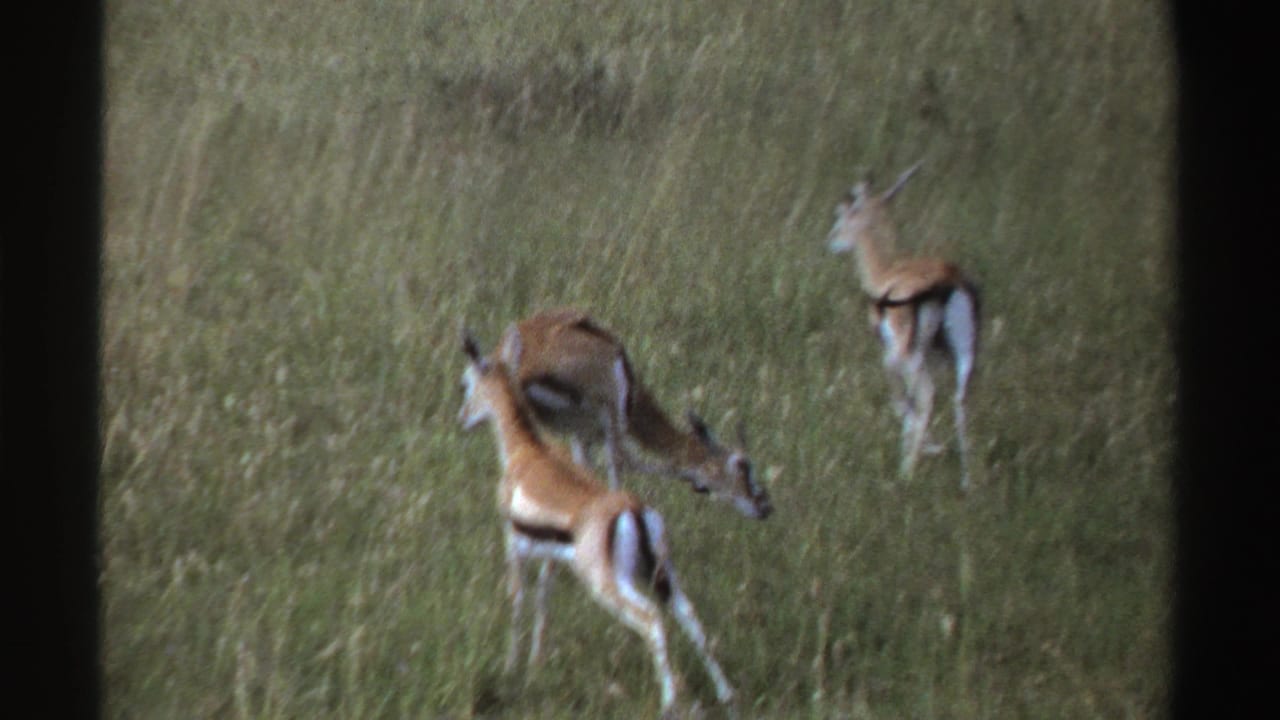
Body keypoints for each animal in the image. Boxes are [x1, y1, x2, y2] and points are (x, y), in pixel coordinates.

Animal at [458, 332, 737, 718]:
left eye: (465, 383)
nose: (462, 419)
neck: (526, 453)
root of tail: (634, 511)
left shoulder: (514, 544)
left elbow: (518, 600)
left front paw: (512, 667)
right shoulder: (552, 555)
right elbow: (544, 598)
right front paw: (536, 665)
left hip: (610, 585)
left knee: (651, 619)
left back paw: (671, 703)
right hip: (663, 577)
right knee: (691, 619)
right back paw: (727, 696)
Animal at [496, 308, 772, 519]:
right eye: (743, 466)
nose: (765, 505)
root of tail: (527, 357)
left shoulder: (581, 437)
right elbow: (629, 462)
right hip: (610, 416)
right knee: (620, 461)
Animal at [827, 162, 980, 489]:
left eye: (844, 213)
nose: (831, 241)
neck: (888, 271)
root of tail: (948, 281)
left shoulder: (892, 354)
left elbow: (903, 404)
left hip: (906, 356)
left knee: (926, 395)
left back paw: (909, 471)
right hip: (964, 357)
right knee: (960, 400)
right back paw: (967, 482)